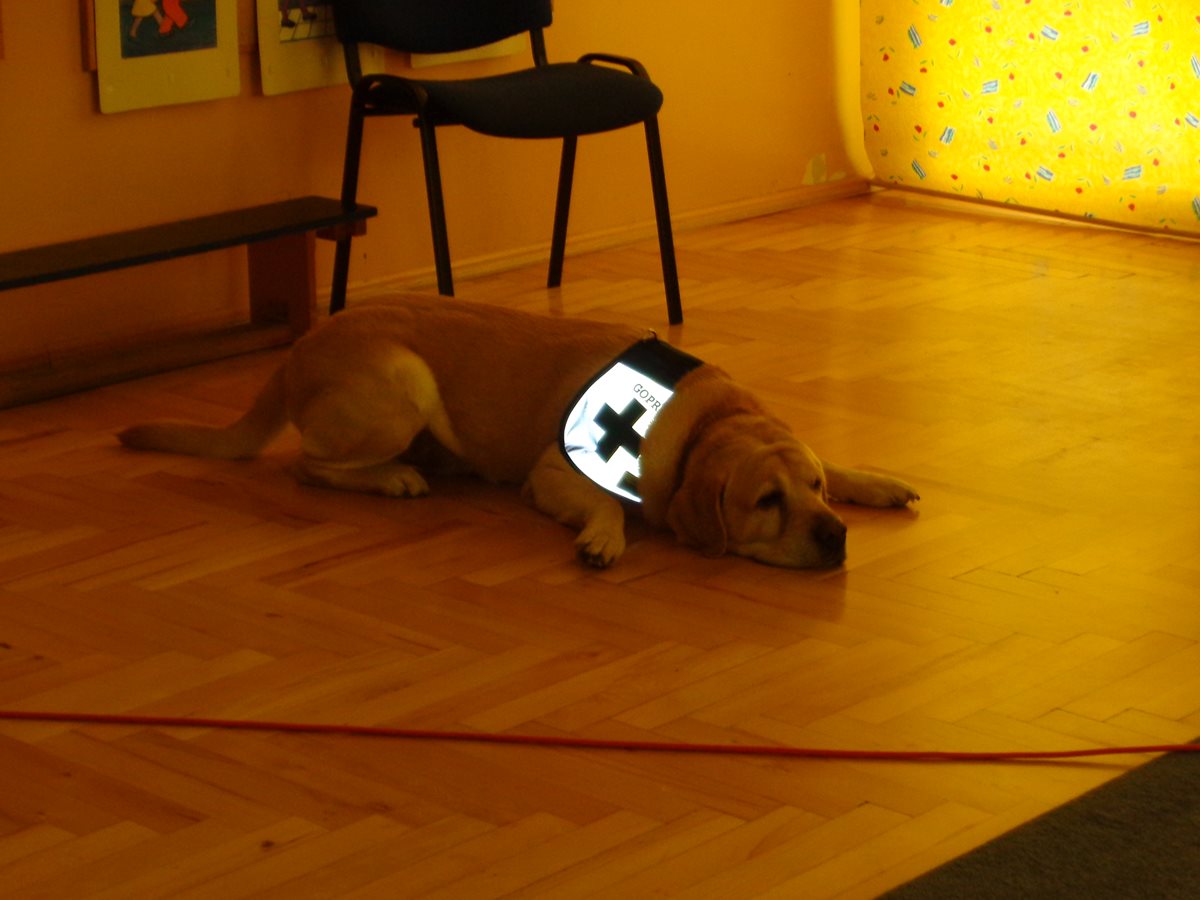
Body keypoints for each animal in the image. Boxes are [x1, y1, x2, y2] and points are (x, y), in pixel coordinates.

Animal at [119, 294, 918, 568]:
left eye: (814, 490)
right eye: (765, 502)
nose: (835, 536)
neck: (701, 423)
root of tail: (299, 350)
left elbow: (843, 459)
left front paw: (875, 482)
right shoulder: (556, 470)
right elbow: (605, 506)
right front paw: (604, 537)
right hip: (404, 384)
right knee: (309, 464)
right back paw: (395, 476)